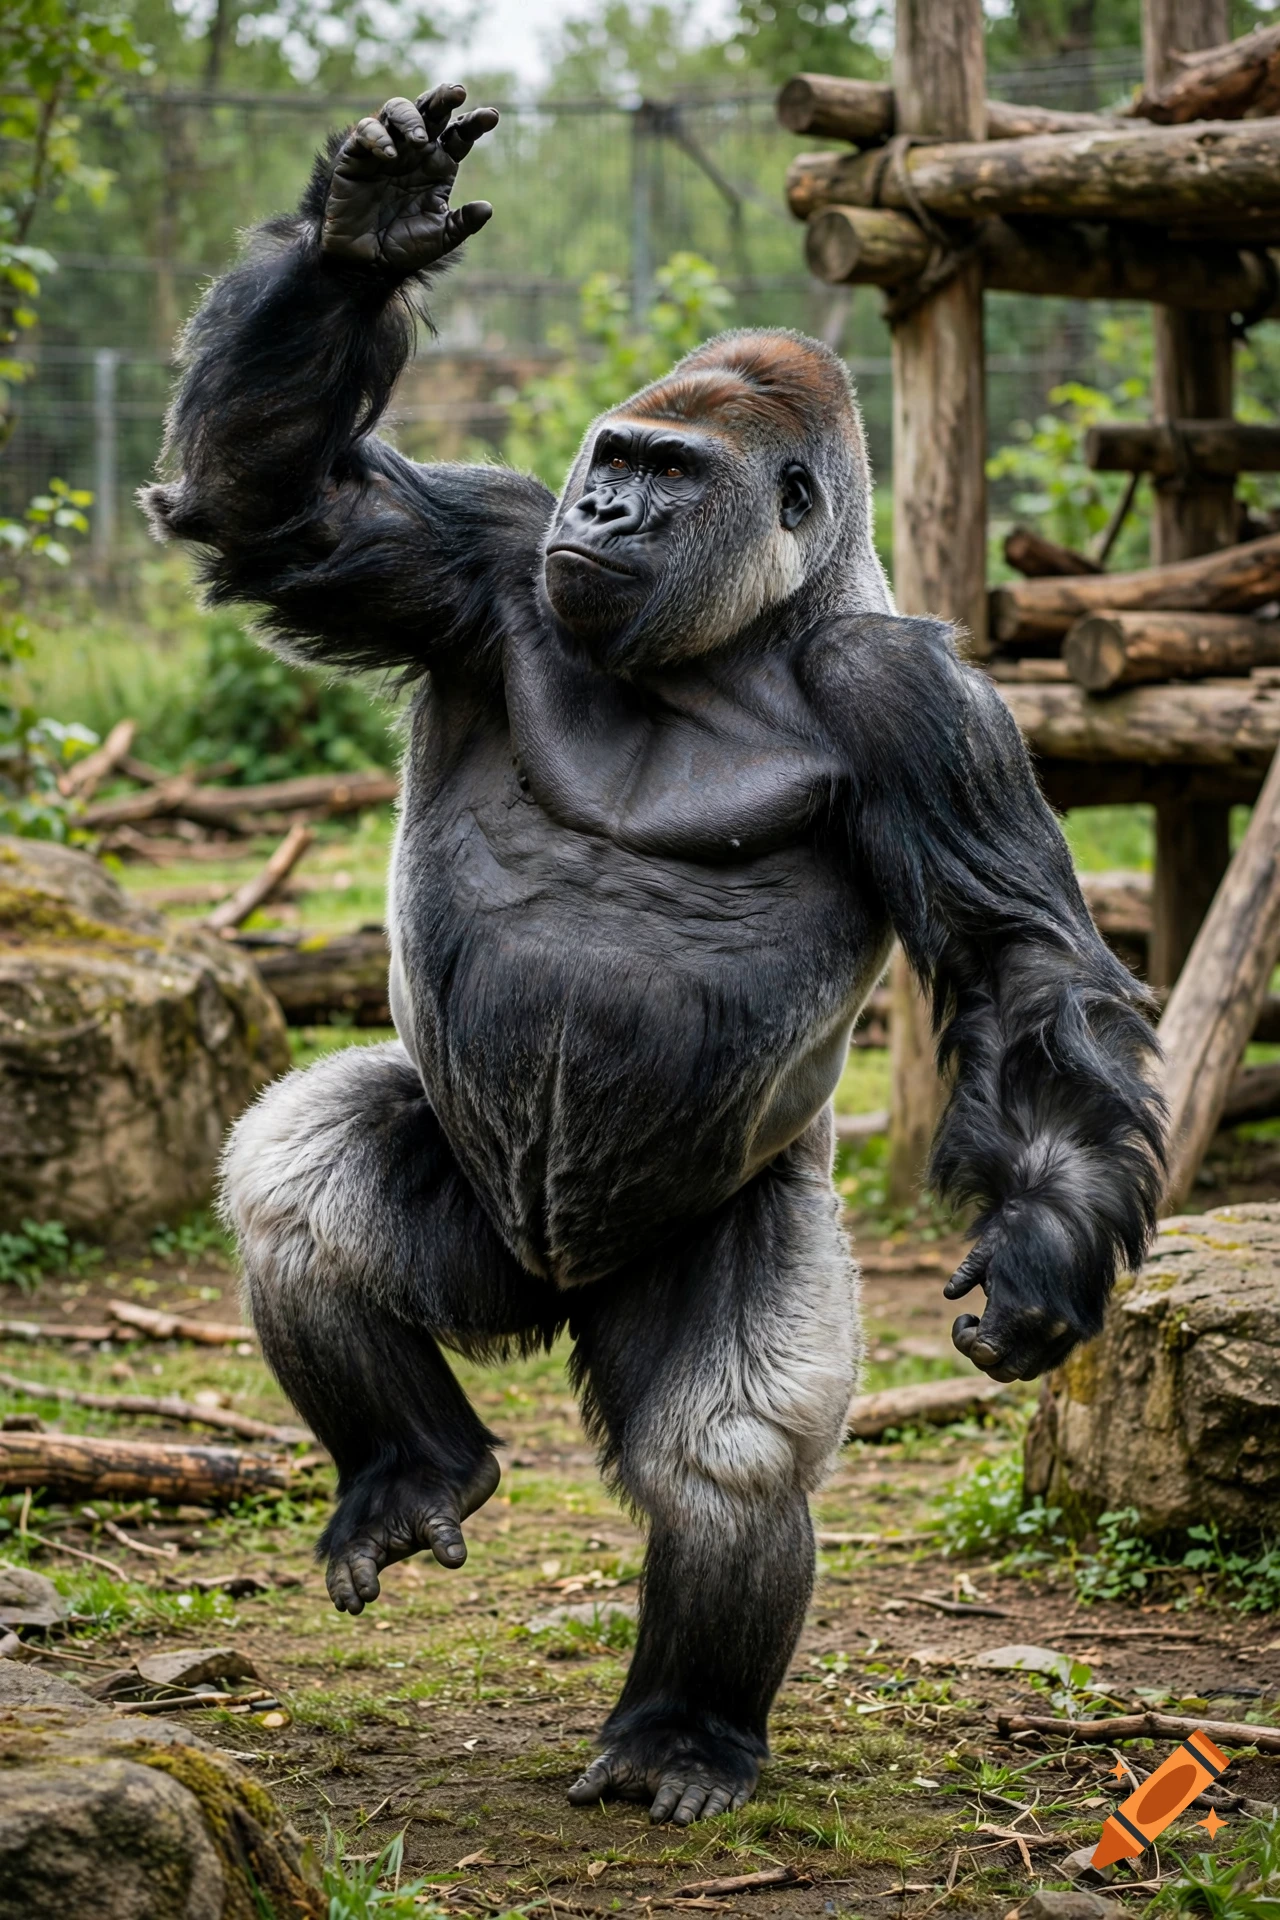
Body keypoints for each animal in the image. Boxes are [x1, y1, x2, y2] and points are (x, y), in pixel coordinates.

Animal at [142, 84, 1166, 1827]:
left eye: (667, 472)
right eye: (607, 459)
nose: (606, 510)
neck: (739, 638)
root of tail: (547, 1296)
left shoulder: (926, 702)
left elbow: (1021, 968)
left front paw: (1043, 1250)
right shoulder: (491, 550)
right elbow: (275, 511)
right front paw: (361, 236)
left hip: (707, 1234)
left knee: (726, 1447)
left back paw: (685, 1727)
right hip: (476, 1232)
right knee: (301, 1189)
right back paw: (412, 1464)